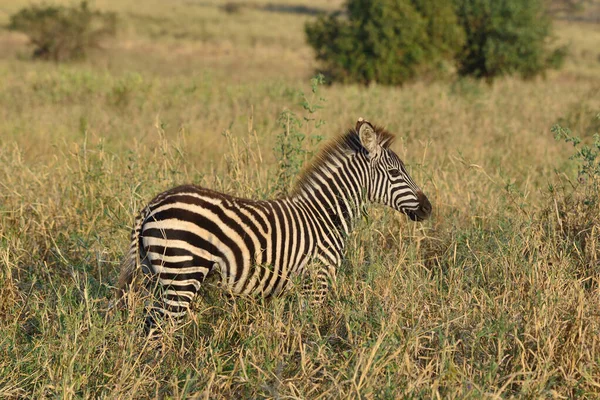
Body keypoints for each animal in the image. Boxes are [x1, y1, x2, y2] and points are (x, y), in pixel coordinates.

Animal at [115, 118, 428, 334]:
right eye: (394, 173)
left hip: (156, 276)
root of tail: (151, 205)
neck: (325, 216)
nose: (428, 208)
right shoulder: (317, 281)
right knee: (158, 331)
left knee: (149, 325)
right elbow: (307, 330)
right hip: (181, 275)